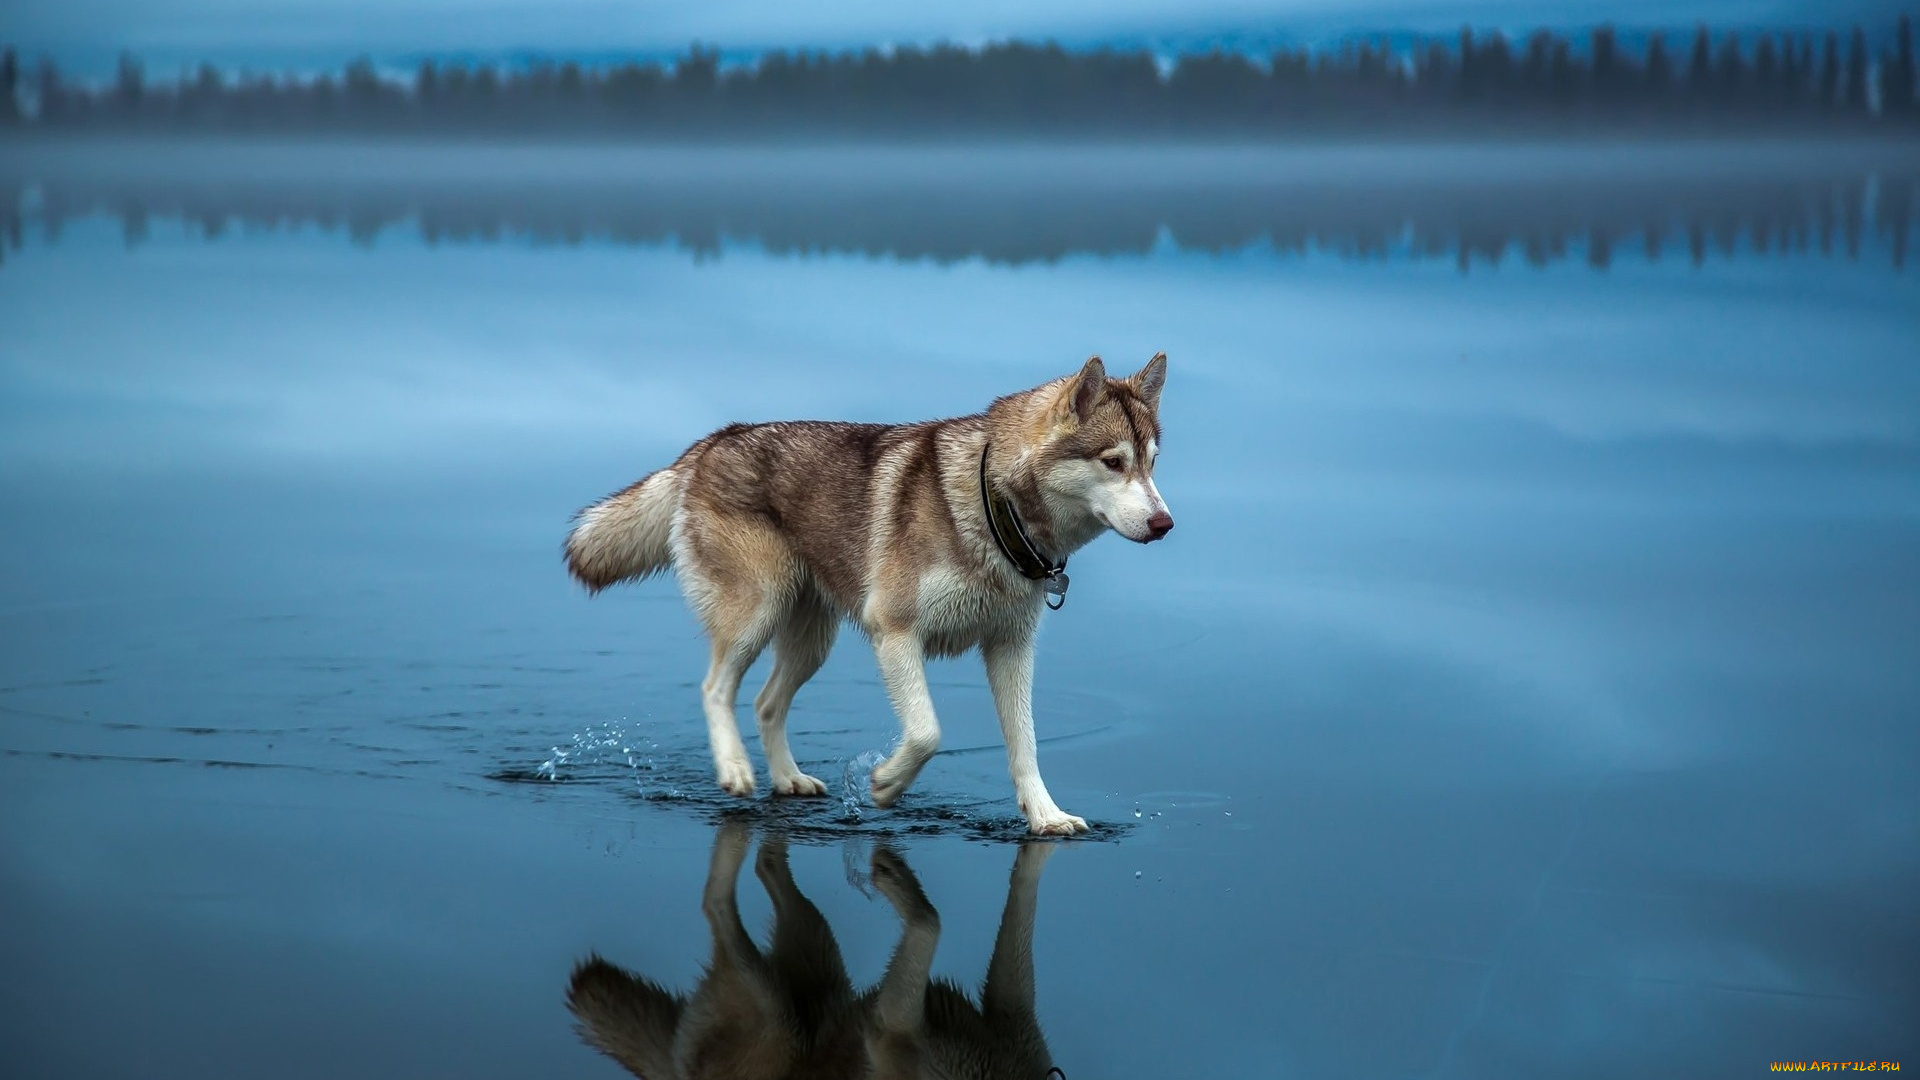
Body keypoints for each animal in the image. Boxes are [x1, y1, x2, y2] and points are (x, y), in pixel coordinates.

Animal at [568, 353, 1167, 834]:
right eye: (1114, 461)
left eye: (1153, 462)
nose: (1165, 524)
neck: (994, 507)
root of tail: (712, 441)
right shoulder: (895, 632)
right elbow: (926, 732)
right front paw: (884, 784)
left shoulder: (1011, 648)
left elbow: (1026, 745)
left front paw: (1046, 817)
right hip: (755, 614)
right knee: (716, 688)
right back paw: (735, 769)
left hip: (812, 641)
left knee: (765, 703)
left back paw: (788, 779)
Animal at [568, 818, 1059, 1068]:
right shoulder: (892, 1033)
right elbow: (929, 921)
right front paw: (892, 875)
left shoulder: (1013, 1012)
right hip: (776, 1007)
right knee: (715, 902)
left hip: (817, 951)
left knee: (767, 865)